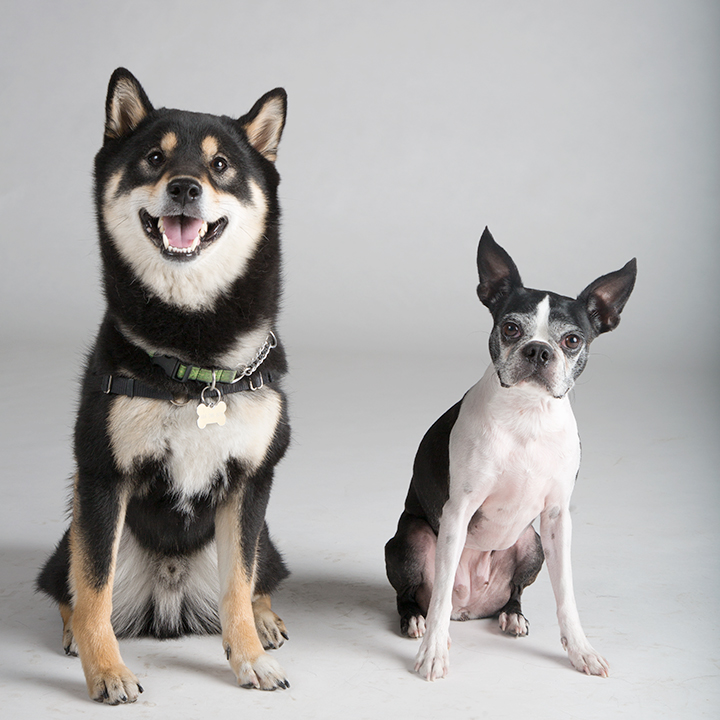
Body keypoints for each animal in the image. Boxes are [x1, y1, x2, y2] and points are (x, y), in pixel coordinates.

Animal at [37, 68, 292, 702]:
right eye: (154, 158)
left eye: (221, 165)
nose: (183, 188)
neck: (193, 356)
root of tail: (169, 589)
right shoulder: (102, 477)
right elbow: (93, 592)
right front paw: (107, 671)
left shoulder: (250, 483)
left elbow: (237, 586)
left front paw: (249, 658)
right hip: (72, 532)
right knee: (70, 585)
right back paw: (74, 634)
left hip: (269, 539)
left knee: (259, 578)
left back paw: (267, 621)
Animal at [385, 228, 636, 680]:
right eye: (511, 328)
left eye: (572, 340)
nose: (538, 350)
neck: (527, 415)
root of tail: (471, 608)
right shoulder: (457, 512)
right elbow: (440, 596)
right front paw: (434, 653)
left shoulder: (557, 518)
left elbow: (566, 595)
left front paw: (581, 651)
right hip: (411, 539)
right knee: (422, 594)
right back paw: (414, 618)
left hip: (531, 542)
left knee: (512, 592)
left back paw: (513, 614)